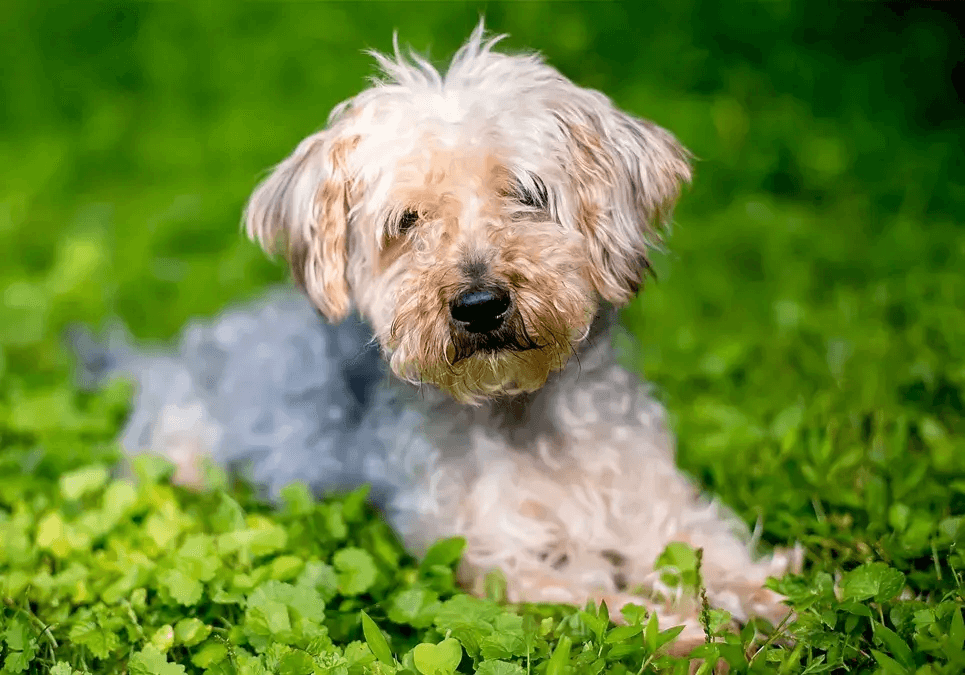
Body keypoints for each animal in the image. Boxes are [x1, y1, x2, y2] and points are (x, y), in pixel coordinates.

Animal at [79, 22, 800, 656]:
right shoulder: (495, 560)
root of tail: (159, 359)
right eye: (408, 220)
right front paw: (690, 632)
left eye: (527, 194)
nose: (479, 305)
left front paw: (779, 603)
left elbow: (715, 556)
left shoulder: (657, 506)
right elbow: (604, 601)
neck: (522, 413)